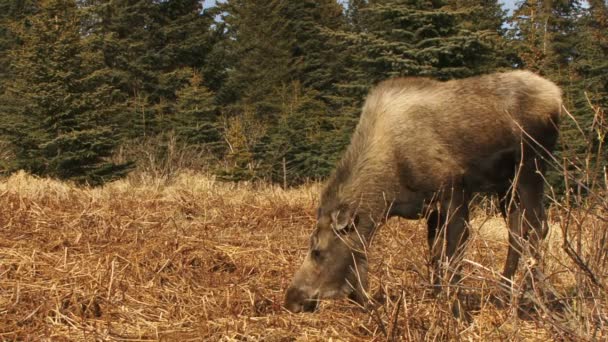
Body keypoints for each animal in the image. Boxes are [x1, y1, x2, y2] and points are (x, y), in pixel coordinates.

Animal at [284, 70, 560, 318]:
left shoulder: (454, 192)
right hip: (506, 186)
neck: (389, 190)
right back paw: (504, 295)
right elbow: (435, 255)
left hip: (530, 168)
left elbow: (453, 255)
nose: (291, 300)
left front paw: (457, 311)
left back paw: (529, 302)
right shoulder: (431, 209)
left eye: (318, 252)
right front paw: (437, 298)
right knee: (517, 231)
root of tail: (557, 96)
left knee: (536, 227)